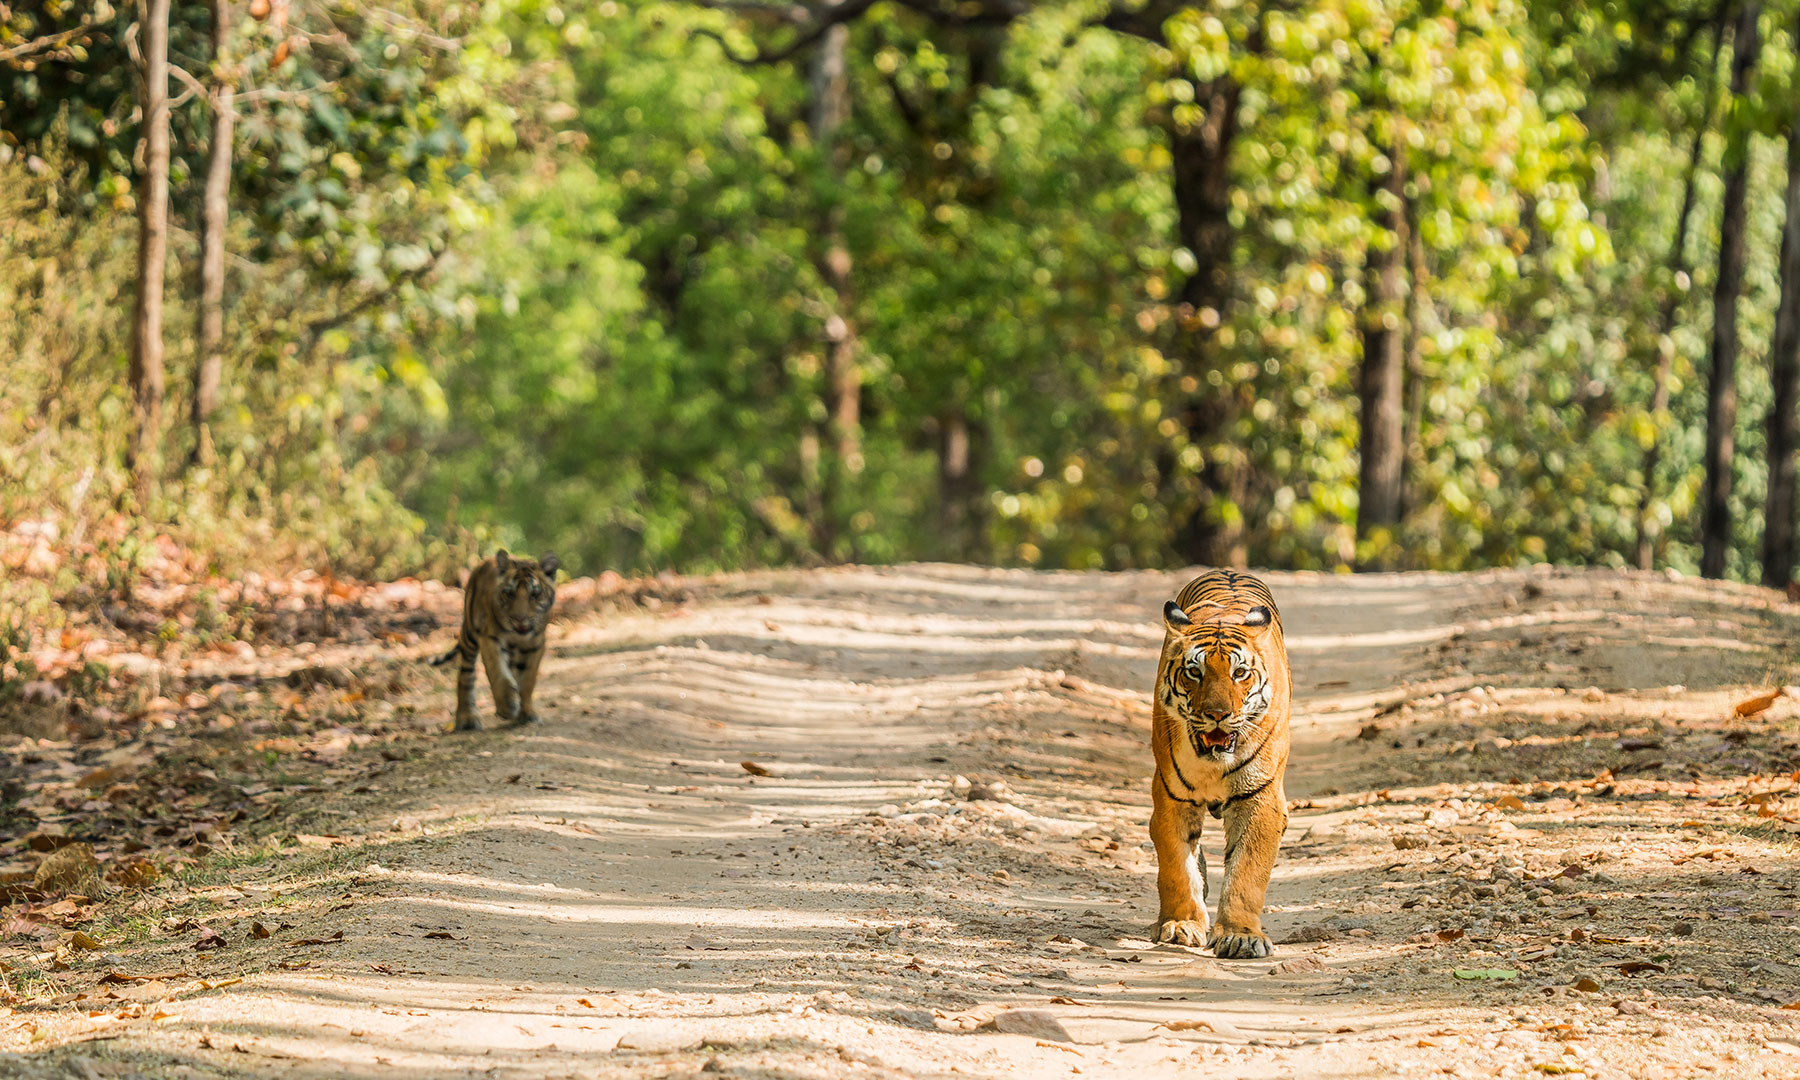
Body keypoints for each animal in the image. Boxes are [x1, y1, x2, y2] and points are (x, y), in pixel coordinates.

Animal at [426, 554, 554, 730]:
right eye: (510, 594)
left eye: (535, 594)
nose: (519, 618)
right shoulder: (490, 638)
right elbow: (497, 671)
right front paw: (507, 705)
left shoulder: (536, 644)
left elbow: (528, 680)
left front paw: (527, 714)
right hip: (469, 635)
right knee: (466, 676)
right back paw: (467, 718)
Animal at [1152, 568, 1296, 957]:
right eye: (1194, 672)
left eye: (1240, 673)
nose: (1217, 714)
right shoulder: (1172, 797)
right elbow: (1177, 864)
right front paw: (1182, 925)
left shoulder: (1261, 799)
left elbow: (1247, 871)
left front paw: (1240, 935)